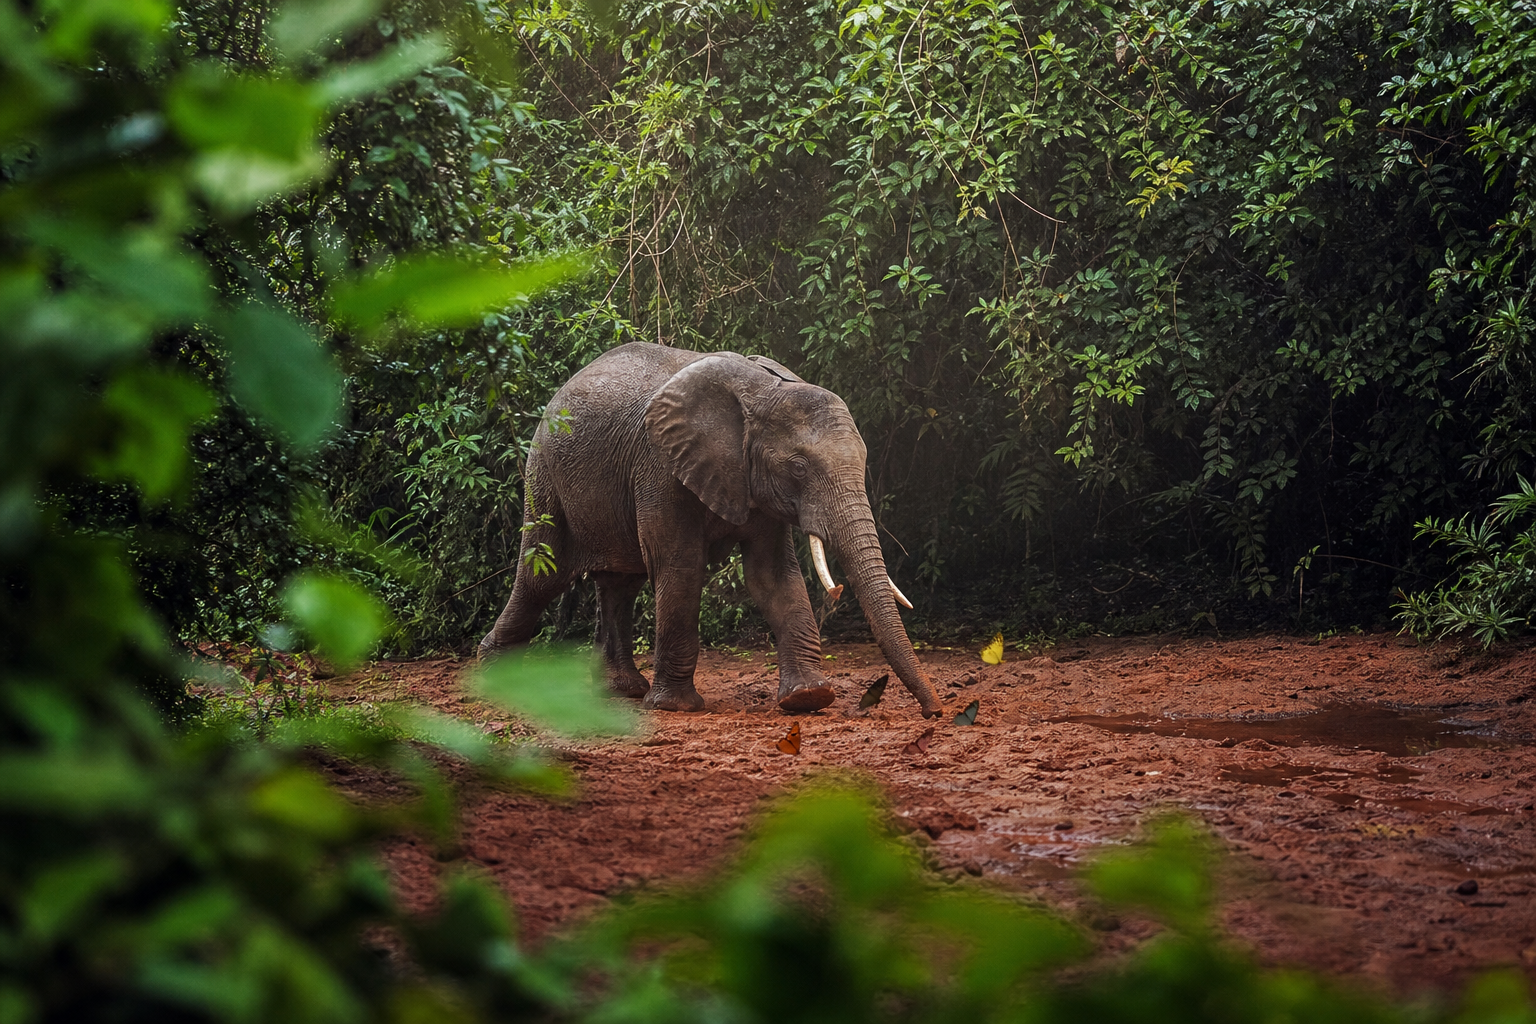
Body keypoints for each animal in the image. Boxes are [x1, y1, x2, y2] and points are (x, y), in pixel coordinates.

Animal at [477, 341, 943, 717]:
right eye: (798, 467)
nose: (934, 712)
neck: (763, 391)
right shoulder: (661, 467)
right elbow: (681, 567)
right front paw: (675, 708)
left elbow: (773, 576)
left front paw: (808, 698)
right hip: (544, 476)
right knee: (543, 575)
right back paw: (495, 677)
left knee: (620, 583)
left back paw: (622, 691)